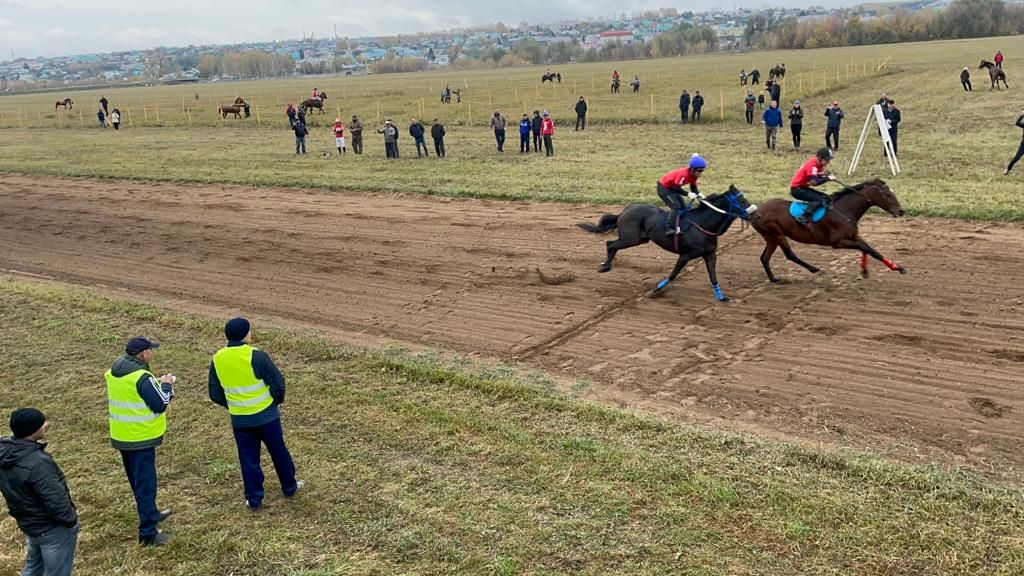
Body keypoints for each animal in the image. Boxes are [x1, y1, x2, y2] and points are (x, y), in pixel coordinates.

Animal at [581, 184, 757, 303]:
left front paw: (722, 297)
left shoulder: (710, 255)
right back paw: (605, 266)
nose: (755, 214)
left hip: (639, 239)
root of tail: (625, 210)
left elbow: (713, 277)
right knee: (610, 244)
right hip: (630, 238)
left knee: (612, 244)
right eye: (742, 200)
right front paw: (656, 290)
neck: (704, 225)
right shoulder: (685, 255)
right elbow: (673, 274)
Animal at [749, 176, 909, 280]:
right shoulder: (837, 242)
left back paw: (773, 279)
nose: (901, 211)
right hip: (776, 234)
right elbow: (865, 248)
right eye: (887, 194)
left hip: (770, 237)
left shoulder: (854, 236)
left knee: (764, 258)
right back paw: (814, 269)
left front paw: (896, 267)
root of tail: (755, 211)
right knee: (789, 255)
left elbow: (871, 250)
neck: (844, 210)